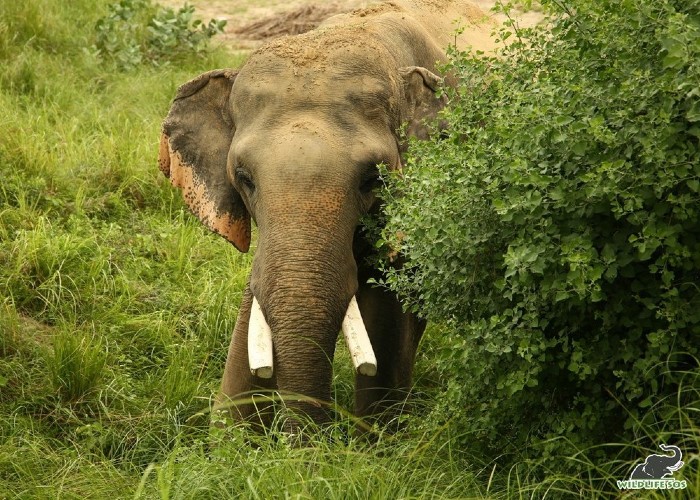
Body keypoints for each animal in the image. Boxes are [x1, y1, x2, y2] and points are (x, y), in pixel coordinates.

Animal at [159, 0, 498, 434]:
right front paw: (229, 437)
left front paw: (377, 437)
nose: (309, 443)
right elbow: (255, 302)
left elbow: (388, 307)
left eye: (372, 179)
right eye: (244, 179)